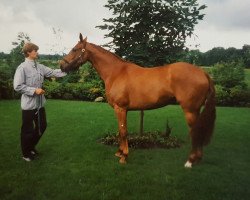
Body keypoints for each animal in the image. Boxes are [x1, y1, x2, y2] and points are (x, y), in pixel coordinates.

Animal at [59, 33, 216, 167]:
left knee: (196, 132)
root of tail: (203, 72)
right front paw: (120, 152)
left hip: (190, 110)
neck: (116, 72)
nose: (61, 65)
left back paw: (190, 161)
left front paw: (124, 156)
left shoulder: (120, 108)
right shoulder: (123, 110)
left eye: (75, 49)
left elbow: (123, 132)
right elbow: (121, 130)